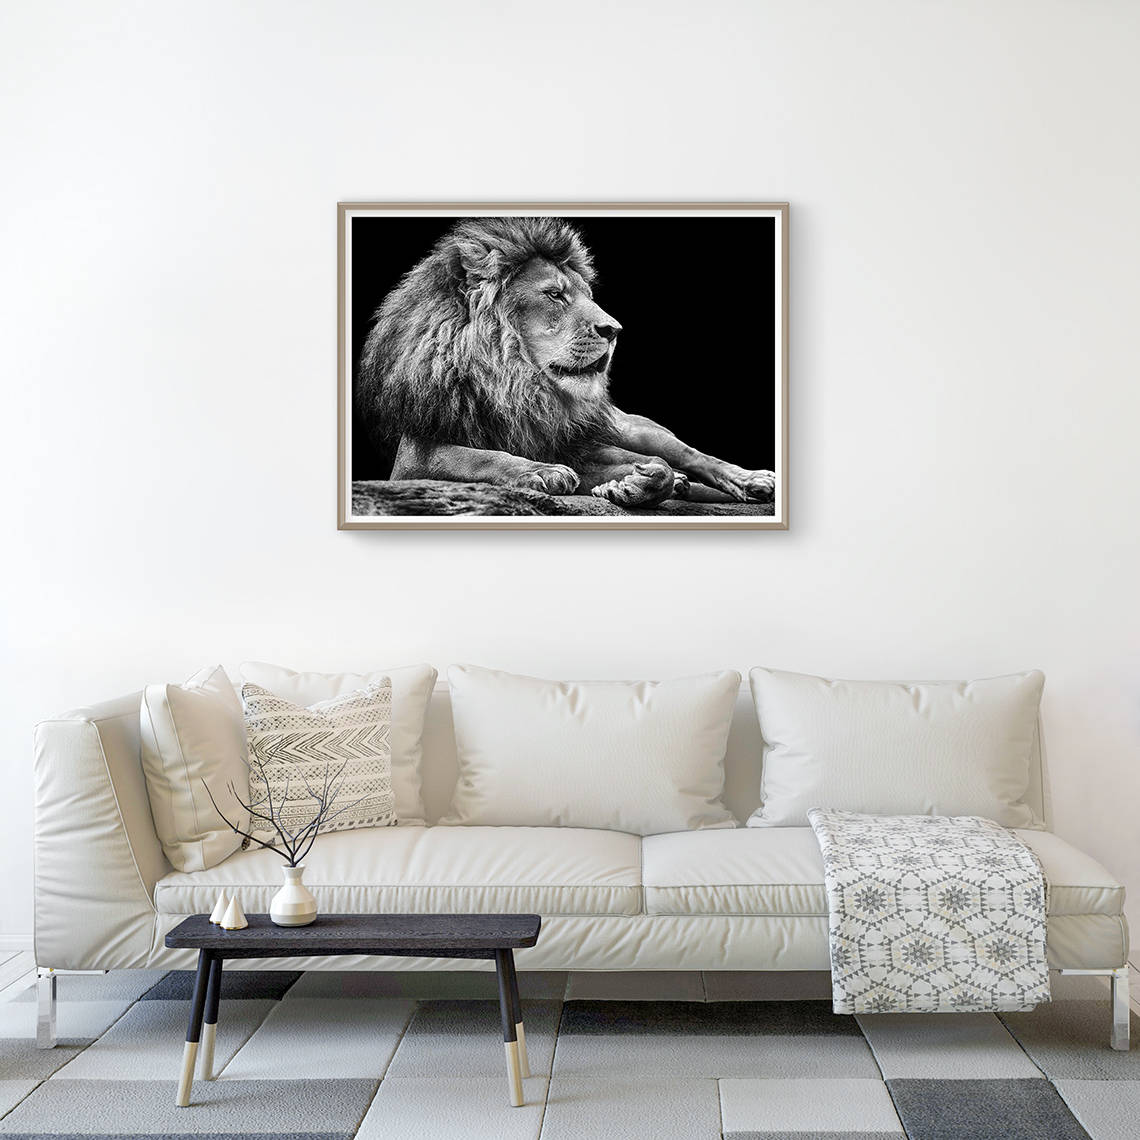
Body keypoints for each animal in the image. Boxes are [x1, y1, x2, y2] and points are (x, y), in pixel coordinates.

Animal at [356, 216, 775, 509]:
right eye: (555, 294)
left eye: (587, 294)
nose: (614, 329)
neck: (513, 382)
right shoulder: (414, 458)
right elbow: (479, 457)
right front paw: (543, 472)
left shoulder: (574, 443)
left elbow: (661, 464)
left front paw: (636, 484)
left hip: (630, 427)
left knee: (689, 455)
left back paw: (751, 479)